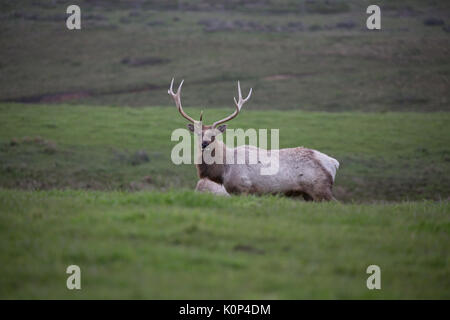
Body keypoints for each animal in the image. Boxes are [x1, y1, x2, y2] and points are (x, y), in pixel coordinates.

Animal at [170, 79, 342, 201]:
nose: (204, 143)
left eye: (214, 135)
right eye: (199, 133)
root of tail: (334, 163)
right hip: (308, 194)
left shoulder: (243, 188)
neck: (223, 170)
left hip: (320, 188)